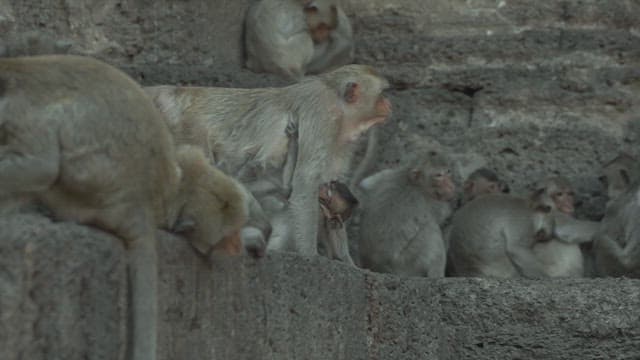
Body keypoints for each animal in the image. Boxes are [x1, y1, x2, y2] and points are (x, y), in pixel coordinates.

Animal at [148, 64, 392, 256]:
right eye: (382, 93)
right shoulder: (321, 113)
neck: (339, 105)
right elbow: (305, 184)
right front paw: (310, 256)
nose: (389, 105)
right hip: (180, 127)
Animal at [358, 150, 458, 278]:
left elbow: (365, 184)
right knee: (430, 229)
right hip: (407, 263)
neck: (411, 180)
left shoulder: (387, 174)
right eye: (438, 175)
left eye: (448, 172)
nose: (450, 185)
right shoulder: (431, 202)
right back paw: (437, 274)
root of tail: (377, 268)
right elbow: (440, 219)